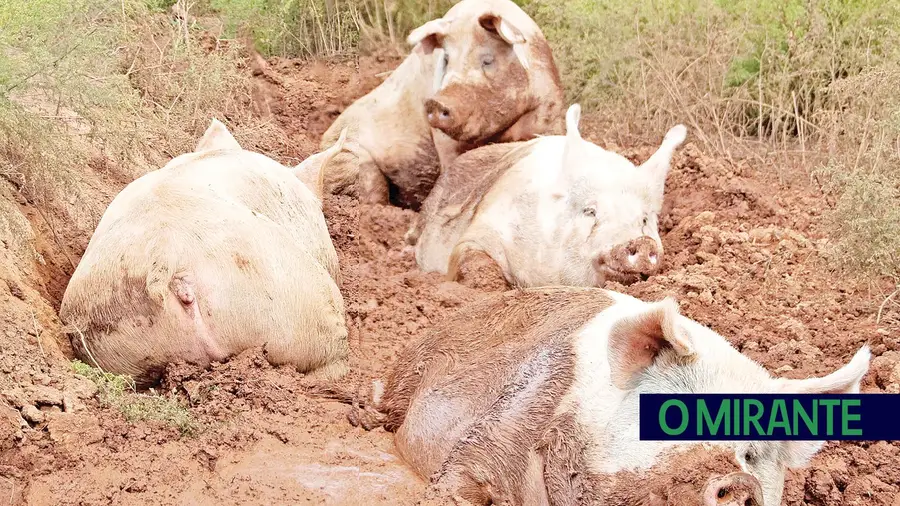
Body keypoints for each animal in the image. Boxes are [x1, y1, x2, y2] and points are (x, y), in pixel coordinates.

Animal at [320, 0, 568, 211]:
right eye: (447, 60)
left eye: (487, 60)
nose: (436, 102)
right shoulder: (443, 140)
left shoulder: (550, 112)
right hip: (352, 157)